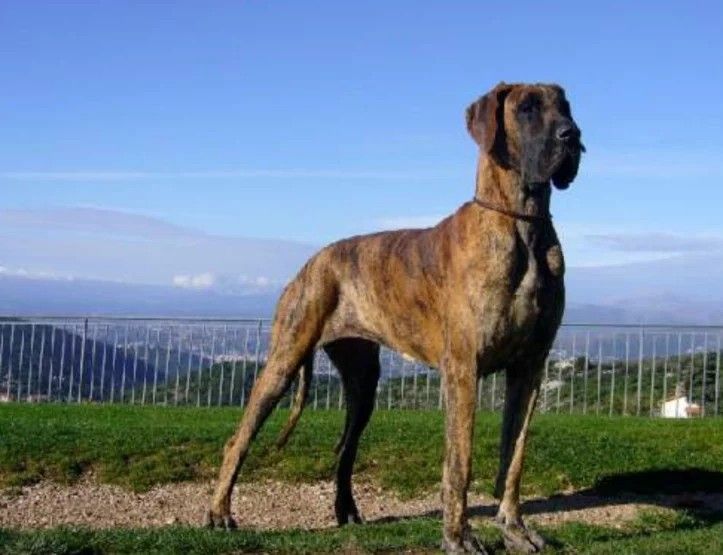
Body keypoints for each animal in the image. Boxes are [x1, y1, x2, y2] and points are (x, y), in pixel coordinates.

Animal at [206, 82, 583, 554]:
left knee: (344, 449)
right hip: (284, 359)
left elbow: (513, 457)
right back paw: (220, 512)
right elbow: (459, 462)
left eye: (565, 106)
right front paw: (458, 536)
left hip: (363, 381)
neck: (521, 224)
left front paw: (514, 528)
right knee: (238, 439)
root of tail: (311, 263)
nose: (573, 136)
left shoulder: (530, 368)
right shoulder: (463, 369)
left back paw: (346, 512)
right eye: (528, 108)